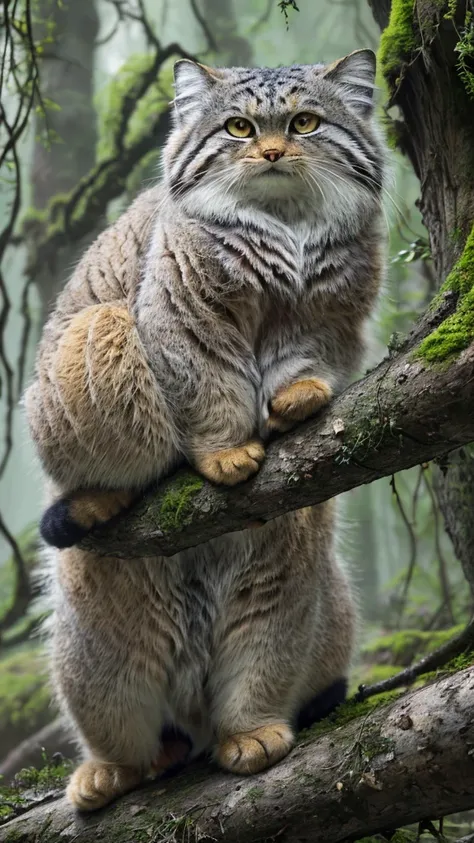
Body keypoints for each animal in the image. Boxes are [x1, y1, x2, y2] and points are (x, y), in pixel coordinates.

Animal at [25, 51, 386, 812]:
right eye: (239, 127)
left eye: (305, 122)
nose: (272, 152)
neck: (283, 227)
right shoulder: (185, 317)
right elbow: (209, 389)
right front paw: (223, 452)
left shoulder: (327, 313)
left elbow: (303, 360)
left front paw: (298, 398)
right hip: (96, 648)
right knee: (122, 729)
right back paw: (111, 767)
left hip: (290, 582)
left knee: (261, 663)